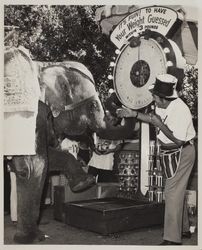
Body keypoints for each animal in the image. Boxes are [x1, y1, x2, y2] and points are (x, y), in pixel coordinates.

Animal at [3, 46, 106, 243]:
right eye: (93, 106)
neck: (43, 66)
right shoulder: (32, 113)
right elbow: (33, 167)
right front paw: (33, 239)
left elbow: (48, 159)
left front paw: (84, 184)